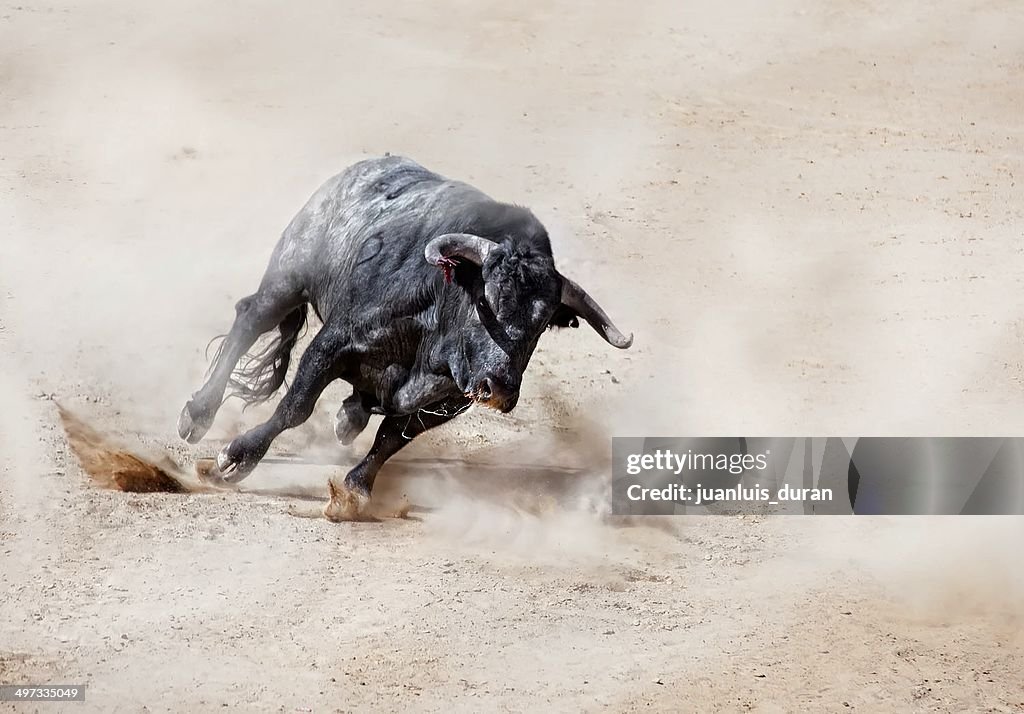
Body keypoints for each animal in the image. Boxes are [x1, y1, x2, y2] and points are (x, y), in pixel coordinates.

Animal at [176, 154, 630, 512]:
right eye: (487, 299)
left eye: (540, 323)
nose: (499, 387)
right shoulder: (333, 344)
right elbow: (296, 406)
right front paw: (235, 458)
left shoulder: (446, 401)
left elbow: (391, 438)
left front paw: (354, 493)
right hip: (288, 276)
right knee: (250, 319)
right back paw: (197, 414)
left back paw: (349, 416)